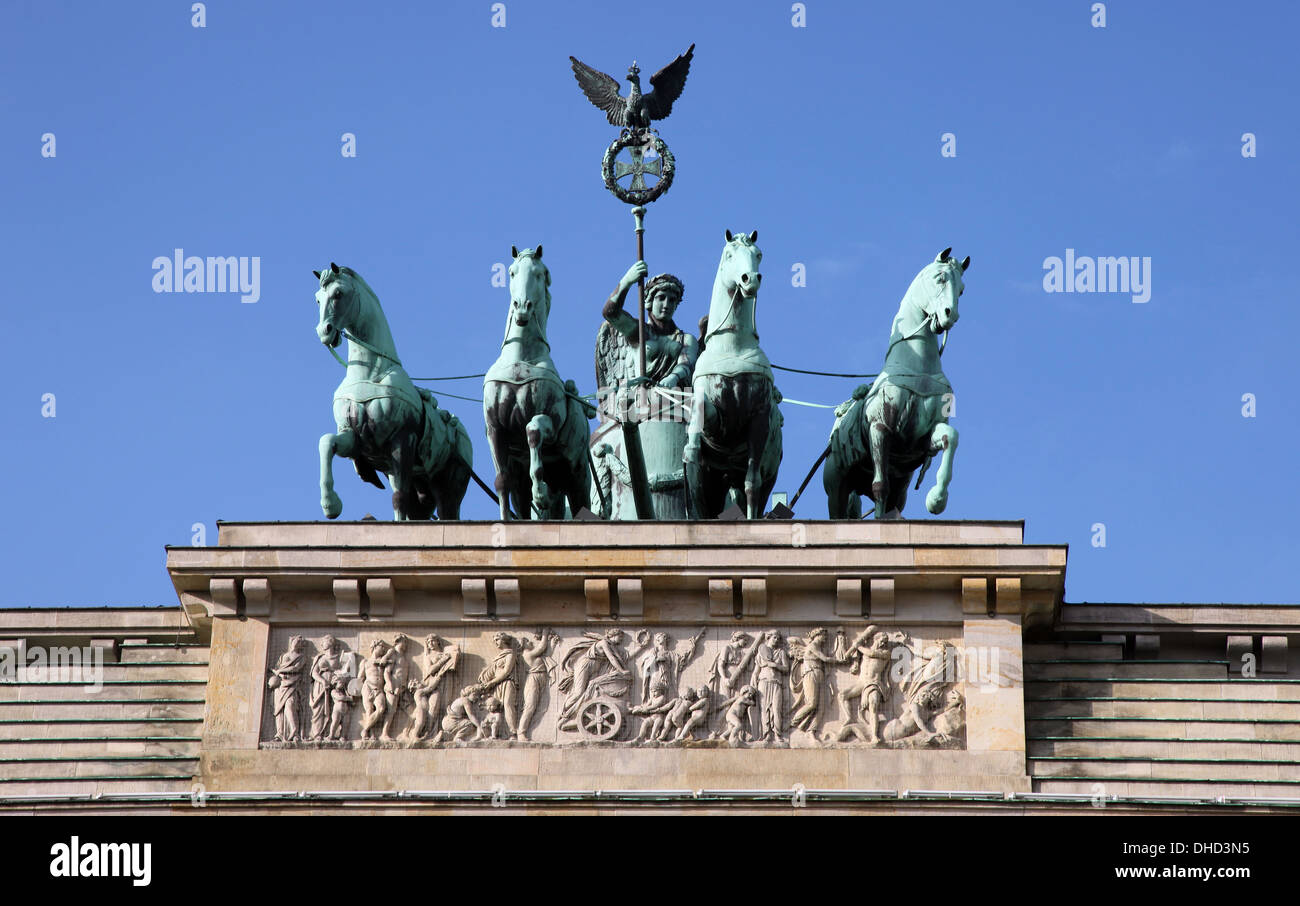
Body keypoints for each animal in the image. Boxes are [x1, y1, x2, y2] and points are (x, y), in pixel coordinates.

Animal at [314, 261, 473, 519]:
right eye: (318, 299)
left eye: (338, 293)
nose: (324, 331)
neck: (370, 374)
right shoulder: (353, 437)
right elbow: (327, 442)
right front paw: (331, 504)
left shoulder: (402, 440)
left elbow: (399, 498)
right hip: (422, 487)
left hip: (449, 486)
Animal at [483, 244, 595, 519]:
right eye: (512, 272)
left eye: (540, 273)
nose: (522, 307)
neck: (521, 358)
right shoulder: (494, 428)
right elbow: (502, 480)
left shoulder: (551, 420)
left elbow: (532, 430)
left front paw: (540, 493)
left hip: (578, 477)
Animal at [681, 230, 780, 519]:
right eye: (729, 254)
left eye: (759, 254)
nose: (750, 279)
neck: (732, 345)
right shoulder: (713, 415)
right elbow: (694, 443)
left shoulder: (759, 419)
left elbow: (752, 482)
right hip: (716, 479)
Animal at [821, 246, 967, 519]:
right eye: (940, 278)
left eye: (962, 289)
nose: (950, 316)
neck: (917, 367)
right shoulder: (880, 429)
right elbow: (880, 485)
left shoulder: (923, 437)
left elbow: (950, 437)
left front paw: (937, 499)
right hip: (837, 487)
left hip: (900, 487)